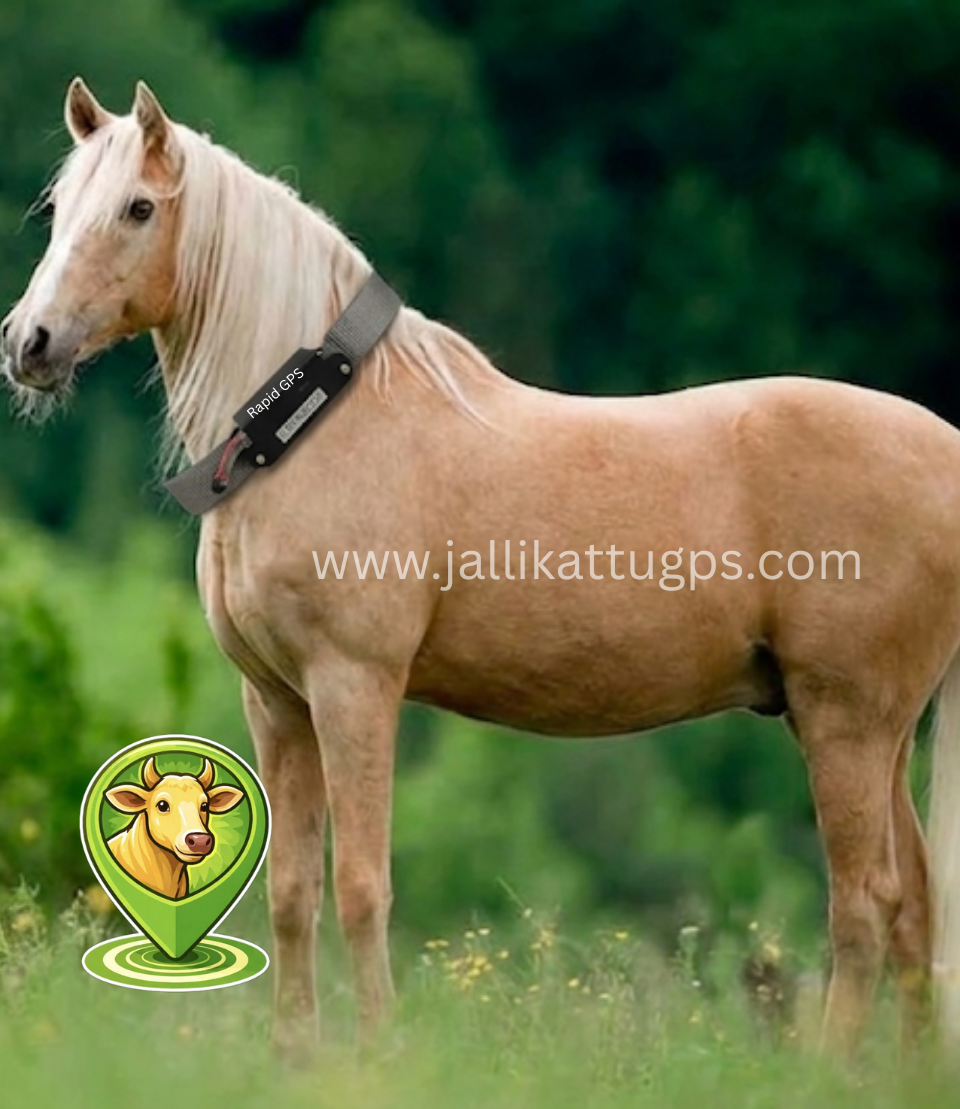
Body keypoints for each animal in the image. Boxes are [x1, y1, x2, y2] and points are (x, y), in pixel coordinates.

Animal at [5, 77, 960, 1059]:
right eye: (57, 207)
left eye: (139, 207)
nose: (29, 343)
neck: (318, 432)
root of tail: (944, 452)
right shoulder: (275, 701)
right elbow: (292, 892)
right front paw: (295, 1061)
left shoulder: (354, 687)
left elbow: (362, 887)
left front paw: (376, 1058)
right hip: (870, 730)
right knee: (915, 906)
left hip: (847, 721)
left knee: (865, 904)